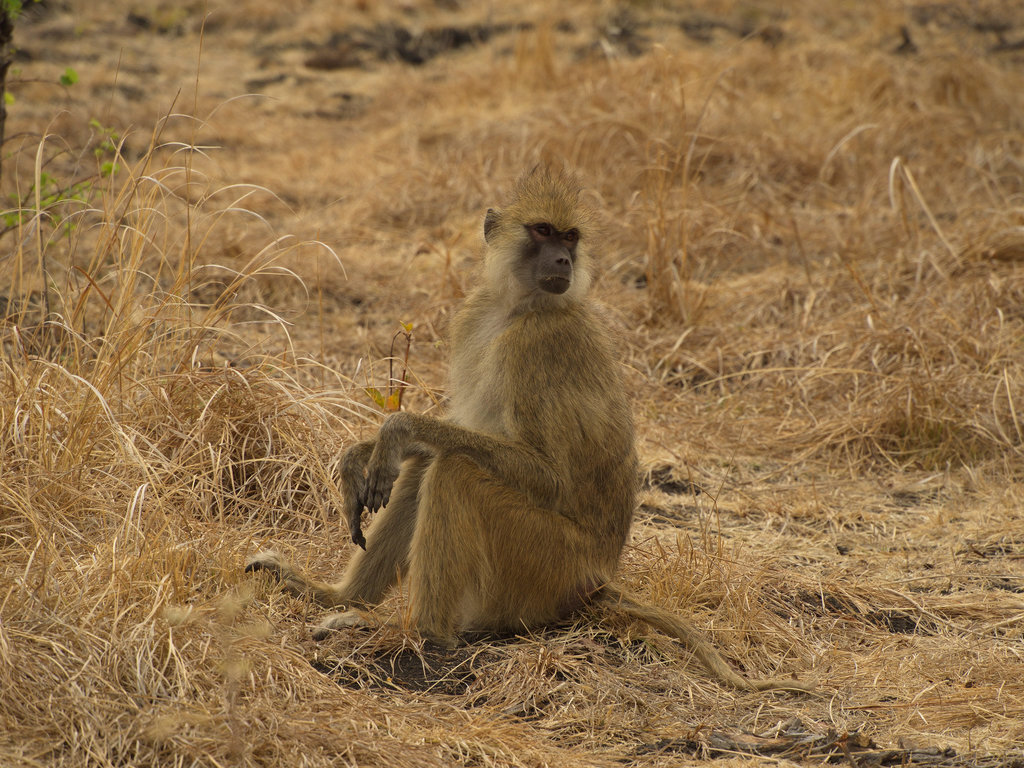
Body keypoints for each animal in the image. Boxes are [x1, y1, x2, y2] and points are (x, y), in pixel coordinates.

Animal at [247, 169, 813, 693]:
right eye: (542, 231)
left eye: (571, 237)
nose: (563, 262)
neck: (517, 306)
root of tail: (594, 581)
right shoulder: (474, 318)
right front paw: (363, 452)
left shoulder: (534, 346)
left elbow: (547, 473)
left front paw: (396, 429)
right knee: (432, 463)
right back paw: (339, 598)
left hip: (545, 565)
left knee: (455, 471)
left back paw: (411, 629)